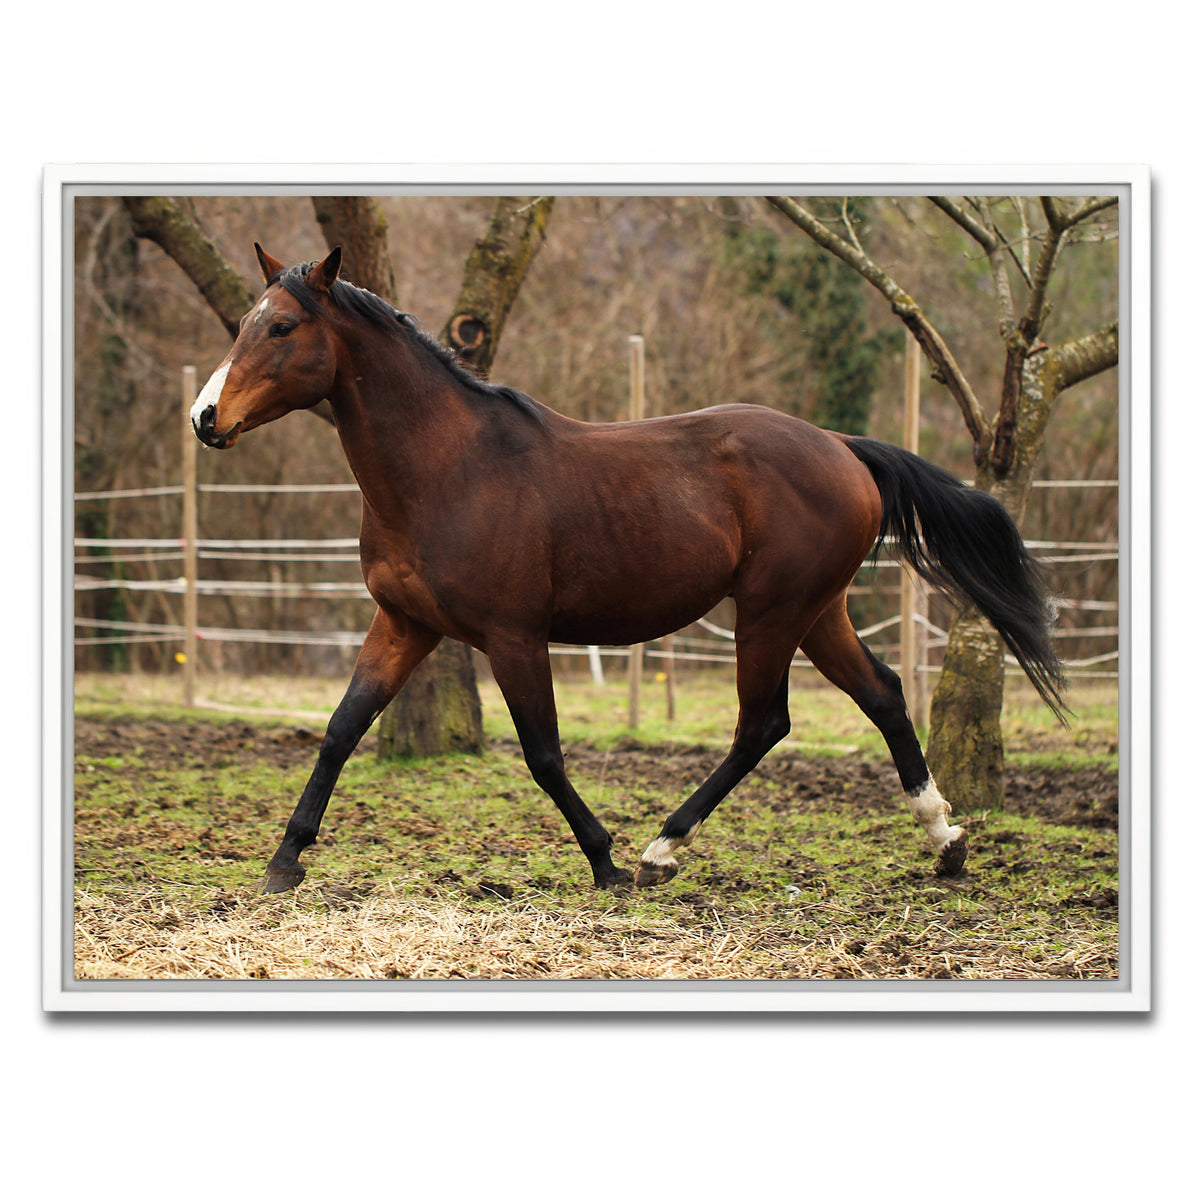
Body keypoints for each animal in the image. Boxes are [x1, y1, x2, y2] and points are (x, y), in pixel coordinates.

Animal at [191, 244, 1067, 895]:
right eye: (247, 323)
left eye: (282, 326)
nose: (204, 418)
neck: (448, 469)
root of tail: (842, 447)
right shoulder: (403, 623)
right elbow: (341, 729)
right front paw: (284, 861)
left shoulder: (514, 637)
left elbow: (543, 754)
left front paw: (604, 859)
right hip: (818, 611)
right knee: (881, 695)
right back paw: (946, 840)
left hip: (772, 612)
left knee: (762, 724)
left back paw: (659, 851)